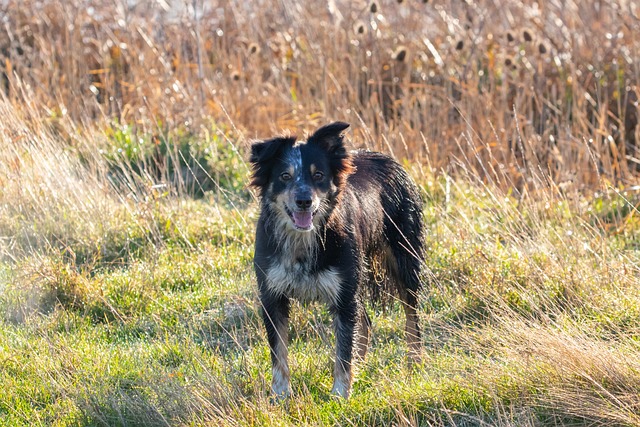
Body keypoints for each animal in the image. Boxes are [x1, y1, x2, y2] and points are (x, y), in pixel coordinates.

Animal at [250, 122, 424, 400]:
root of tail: (389, 159)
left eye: (319, 175)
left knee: (412, 315)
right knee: (366, 322)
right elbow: (279, 351)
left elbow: (343, 350)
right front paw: (281, 394)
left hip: (404, 259)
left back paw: (414, 361)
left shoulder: (344, 295)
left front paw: (340, 394)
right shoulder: (272, 294)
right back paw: (361, 366)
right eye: (285, 176)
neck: (303, 240)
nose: (304, 201)